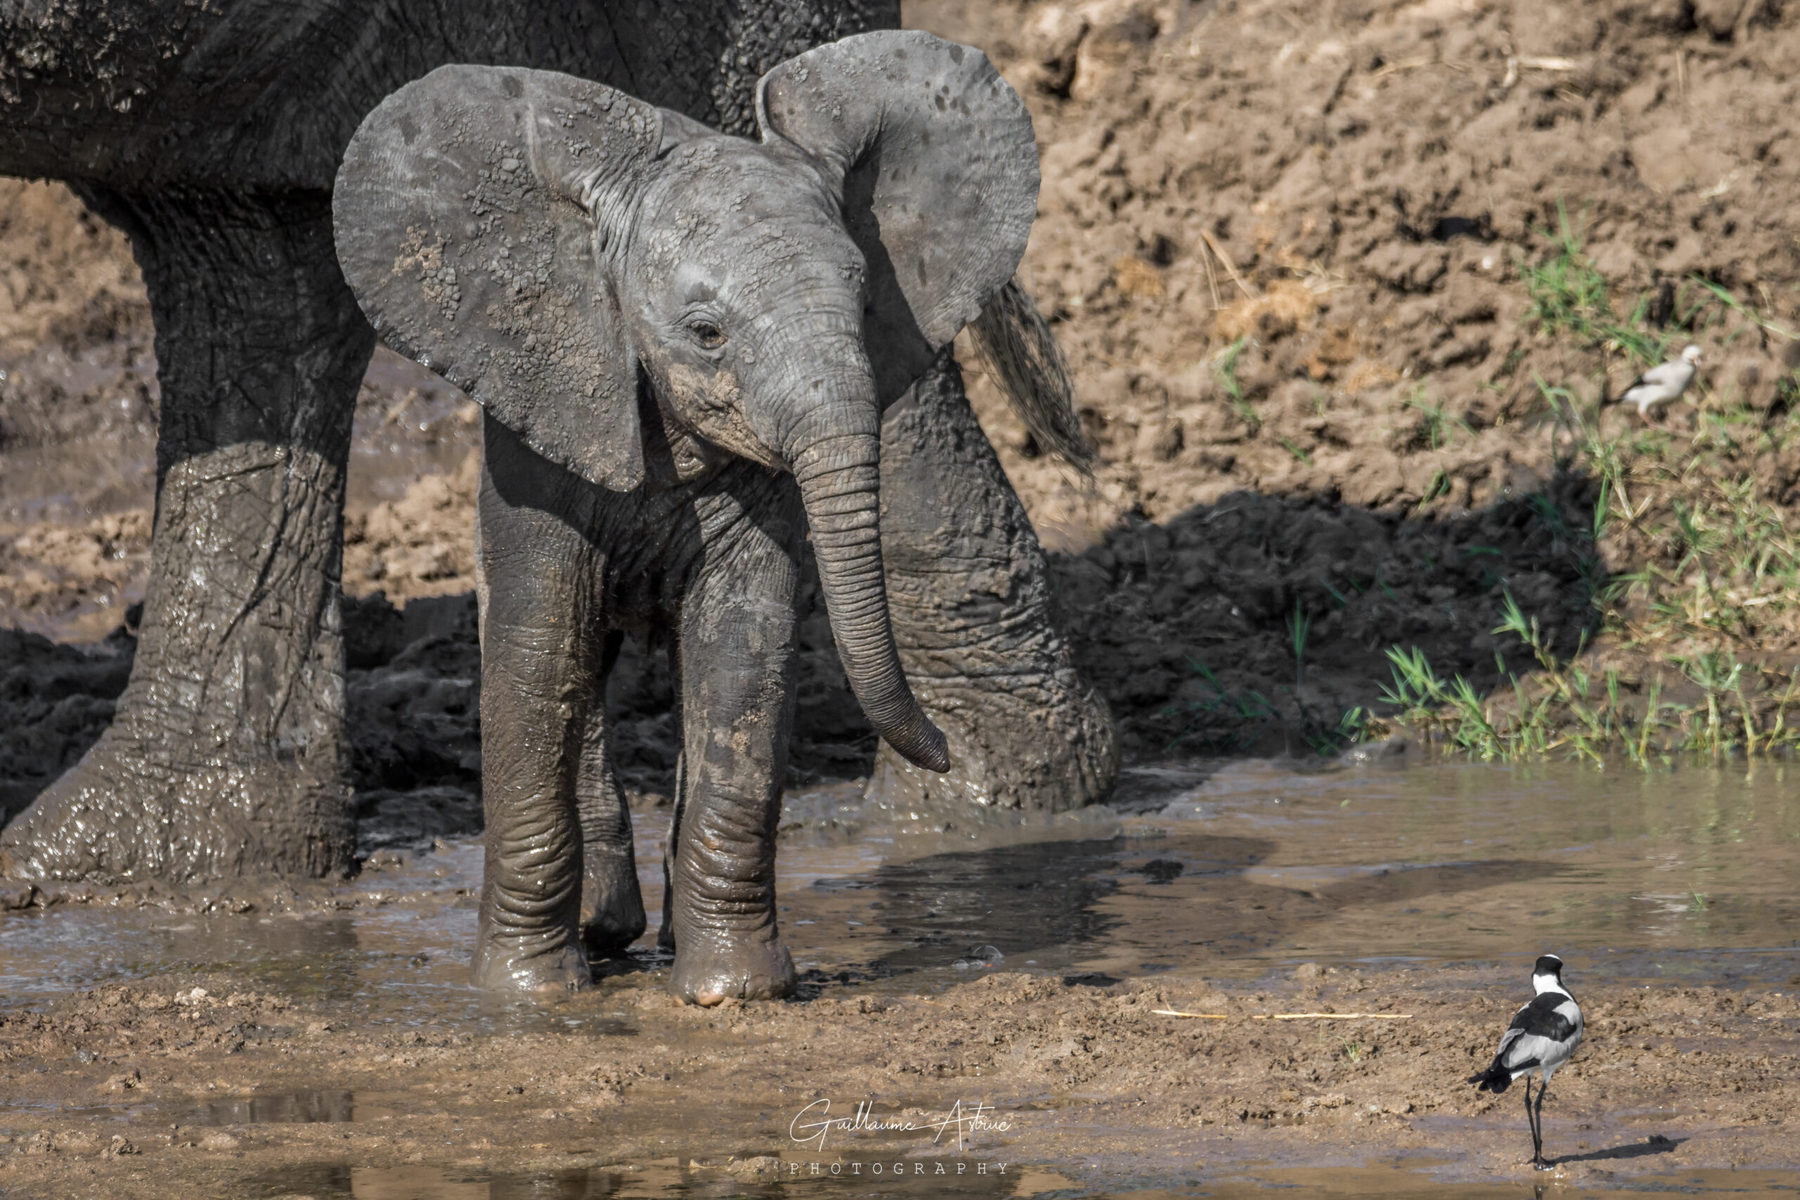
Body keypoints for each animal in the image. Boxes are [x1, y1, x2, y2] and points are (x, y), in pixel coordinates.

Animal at [334, 30, 1044, 1007]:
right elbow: (538, 653)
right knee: (574, 668)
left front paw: (734, 991)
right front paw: (529, 995)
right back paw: (601, 933)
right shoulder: (538, 440)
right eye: (707, 333)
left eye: (867, 301)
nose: (942, 753)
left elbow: (743, 645)